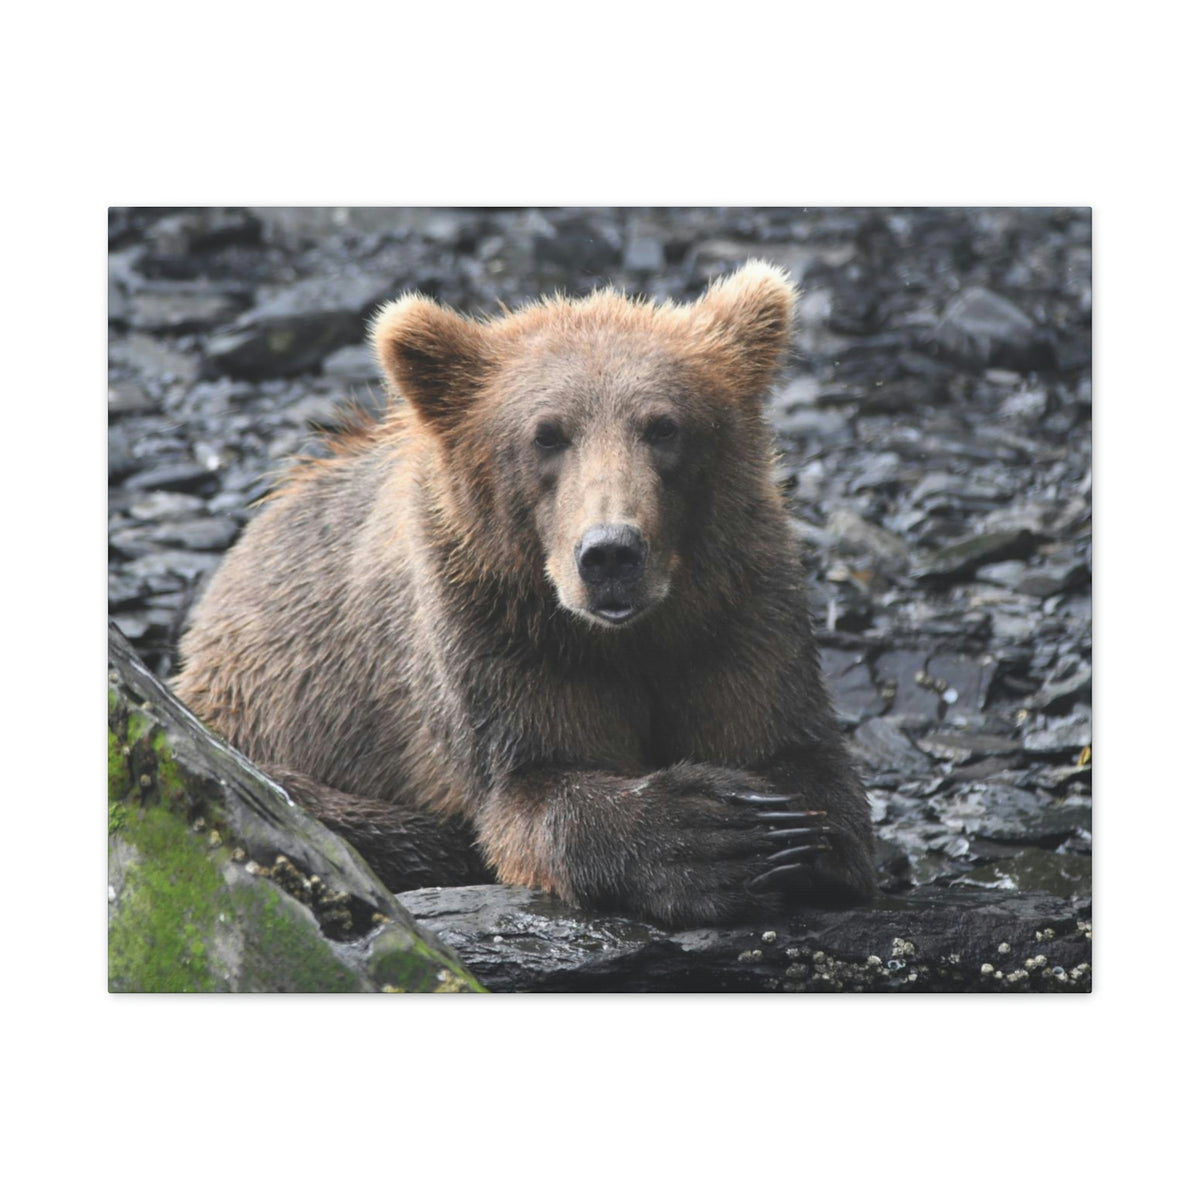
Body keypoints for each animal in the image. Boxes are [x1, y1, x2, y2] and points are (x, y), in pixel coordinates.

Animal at [173, 261, 877, 927]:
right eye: (547, 434)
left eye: (664, 427)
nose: (611, 553)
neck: (626, 635)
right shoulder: (494, 630)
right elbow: (531, 787)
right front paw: (710, 835)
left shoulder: (736, 606)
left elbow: (792, 748)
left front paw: (786, 831)